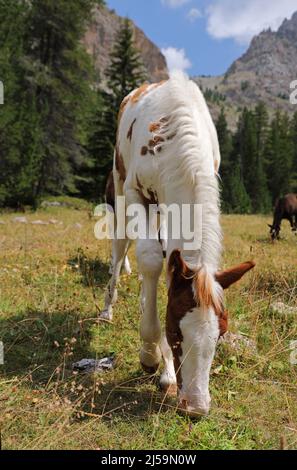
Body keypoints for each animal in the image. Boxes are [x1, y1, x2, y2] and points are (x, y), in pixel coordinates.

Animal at [100, 71, 253, 416]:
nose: (195, 406)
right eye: (175, 332)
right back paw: (106, 310)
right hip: (118, 185)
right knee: (121, 246)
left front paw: (167, 370)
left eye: (221, 334)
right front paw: (149, 353)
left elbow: (167, 268)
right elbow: (148, 258)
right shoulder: (135, 191)